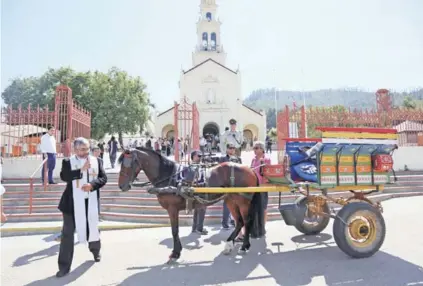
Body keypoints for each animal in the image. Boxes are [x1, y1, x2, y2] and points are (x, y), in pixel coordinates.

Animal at [117, 147, 264, 264]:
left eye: (127, 164)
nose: (121, 186)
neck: (168, 176)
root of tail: (250, 170)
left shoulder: (172, 209)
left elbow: (174, 230)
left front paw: (175, 253)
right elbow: (175, 230)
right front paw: (177, 251)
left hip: (243, 201)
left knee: (246, 221)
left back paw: (244, 246)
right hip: (230, 200)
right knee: (239, 222)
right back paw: (229, 245)